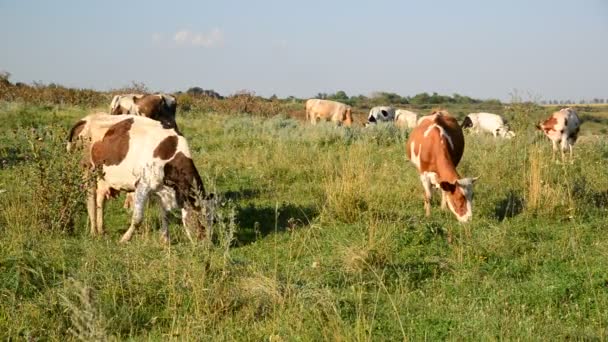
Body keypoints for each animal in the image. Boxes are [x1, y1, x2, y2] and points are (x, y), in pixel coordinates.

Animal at [67, 113, 213, 242]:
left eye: (213, 220)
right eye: (200, 219)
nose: (206, 244)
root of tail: (86, 119)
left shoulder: (161, 188)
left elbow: (165, 215)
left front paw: (165, 240)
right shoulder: (142, 185)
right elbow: (137, 218)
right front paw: (125, 239)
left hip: (102, 175)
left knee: (100, 200)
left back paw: (101, 230)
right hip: (87, 169)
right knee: (90, 199)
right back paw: (93, 231)